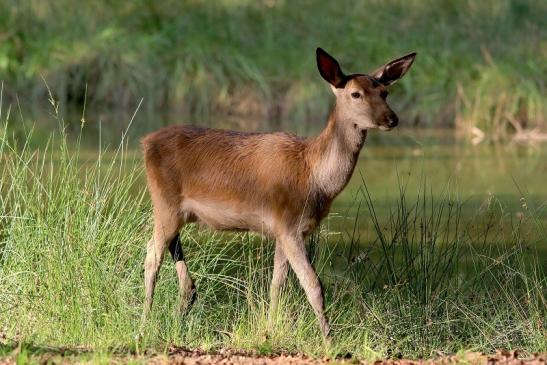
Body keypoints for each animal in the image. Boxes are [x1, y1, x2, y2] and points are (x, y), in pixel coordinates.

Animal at [140, 47, 416, 336]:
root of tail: (146, 142)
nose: (392, 118)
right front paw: (328, 338)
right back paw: (144, 324)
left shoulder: (284, 230)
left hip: (176, 211)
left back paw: (180, 309)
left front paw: (269, 330)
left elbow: (277, 285)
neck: (314, 177)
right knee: (151, 256)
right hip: (164, 202)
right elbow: (314, 285)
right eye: (355, 94)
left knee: (175, 257)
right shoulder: (289, 224)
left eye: (385, 92)